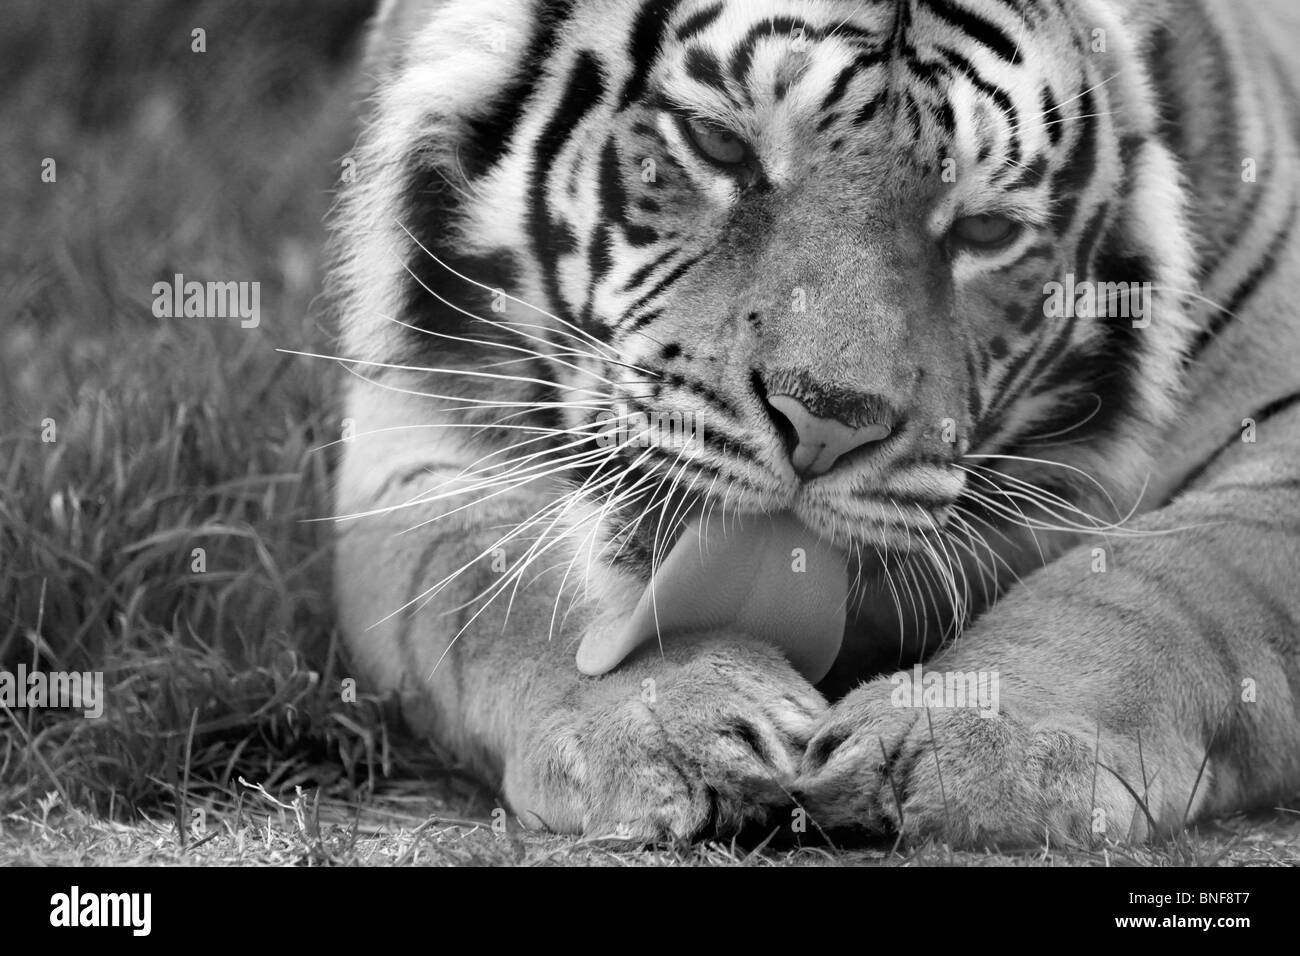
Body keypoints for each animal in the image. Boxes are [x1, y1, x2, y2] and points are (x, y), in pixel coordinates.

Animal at [330, 0, 1300, 846]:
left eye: (985, 231)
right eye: (717, 143)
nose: (826, 424)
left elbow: (1161, 586)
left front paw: (990, 741)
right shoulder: (407, 439)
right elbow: (503, 588)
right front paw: (669, 720)